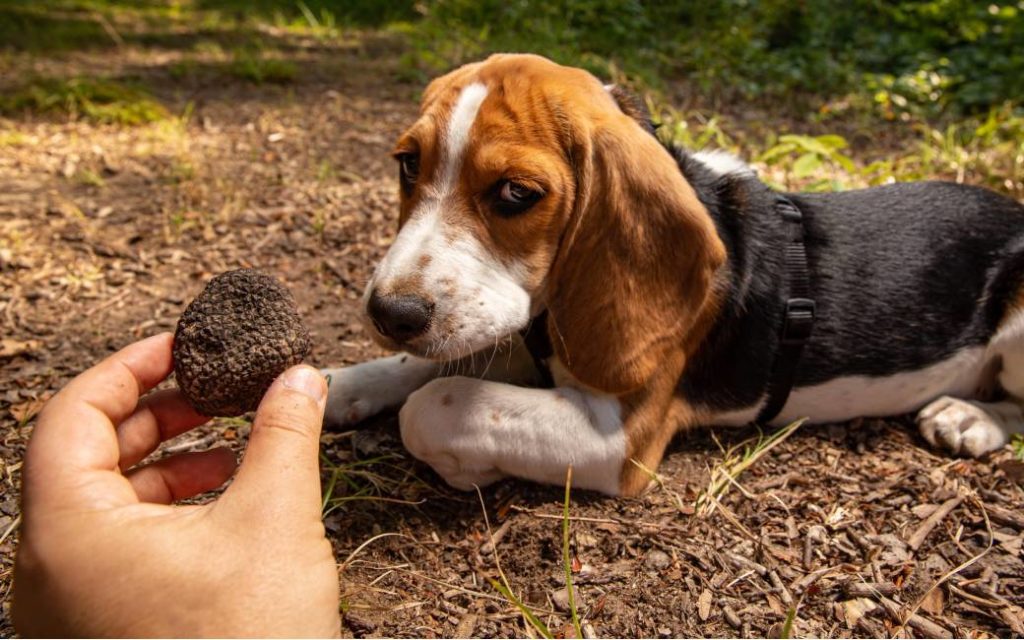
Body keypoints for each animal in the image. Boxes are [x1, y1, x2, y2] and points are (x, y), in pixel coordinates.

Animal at [323, 53, 1024, 493]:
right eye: (408, 165)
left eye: (517, 194)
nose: (388, 313)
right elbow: (417, 367)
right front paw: (334, 383)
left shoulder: (620, 437)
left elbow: (439, 401)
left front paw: (463, 464)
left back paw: (969, 419)